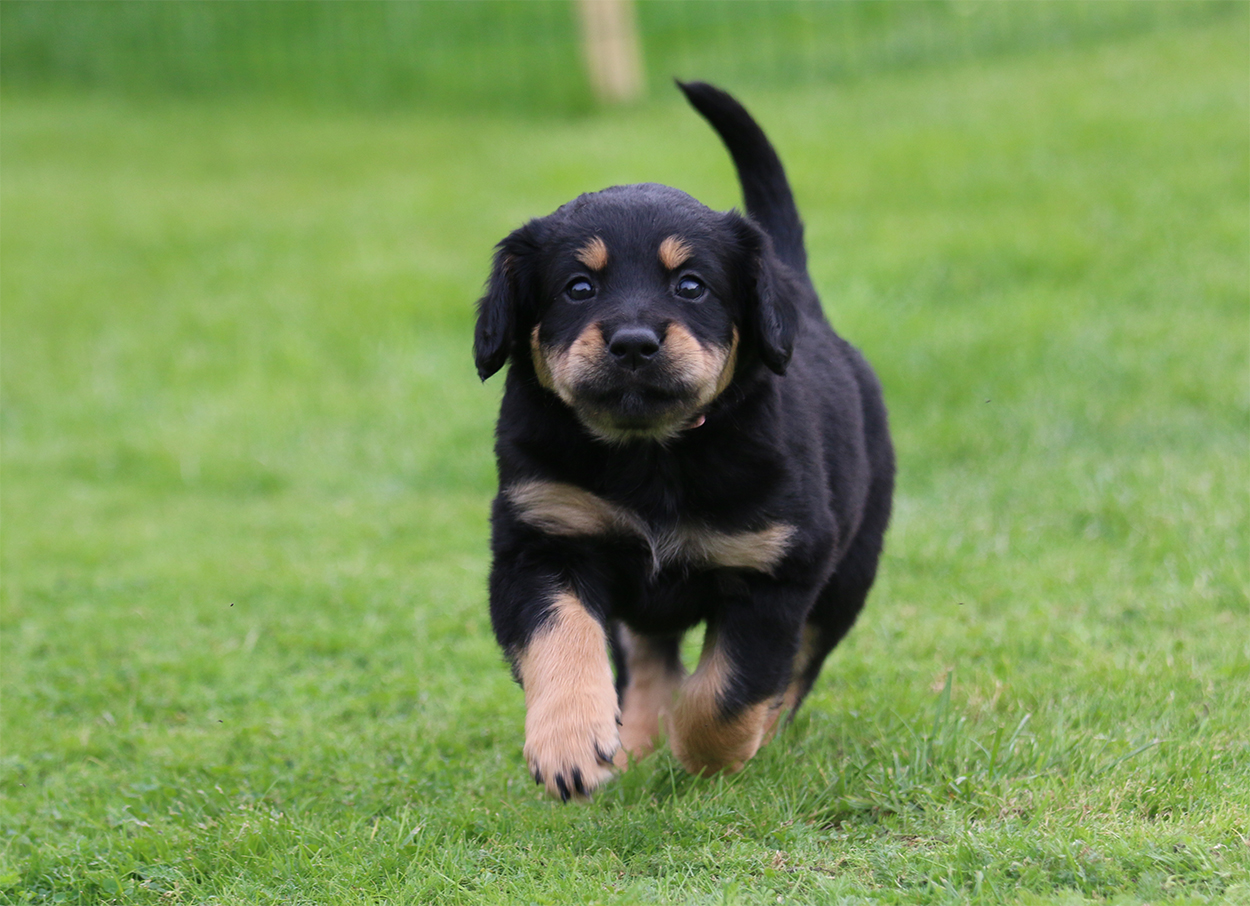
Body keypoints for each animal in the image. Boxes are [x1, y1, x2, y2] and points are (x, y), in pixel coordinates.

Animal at [473, 82, 894, 801]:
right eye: (578, 287)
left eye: (690, 285)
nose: (633, 343)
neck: (651, 452)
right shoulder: (541, 542)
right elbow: (562, 638)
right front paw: (570, 745)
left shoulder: (777, 566)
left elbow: (731, 687)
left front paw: (709, 756)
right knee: (648, 660)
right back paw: (632, 742)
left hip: (848, 574)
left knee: (796, 667)